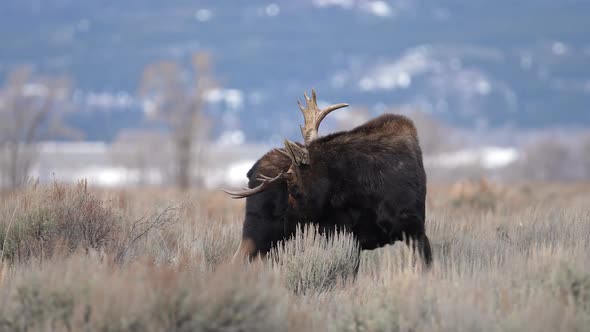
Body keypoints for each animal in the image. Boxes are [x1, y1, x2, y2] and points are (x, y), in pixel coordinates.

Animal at [228, 90, 434, 268]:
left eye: (294, 187)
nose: (288, 218)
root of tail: (251, 171)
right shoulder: (345, 234)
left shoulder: (415, 229)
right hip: (260, 229)